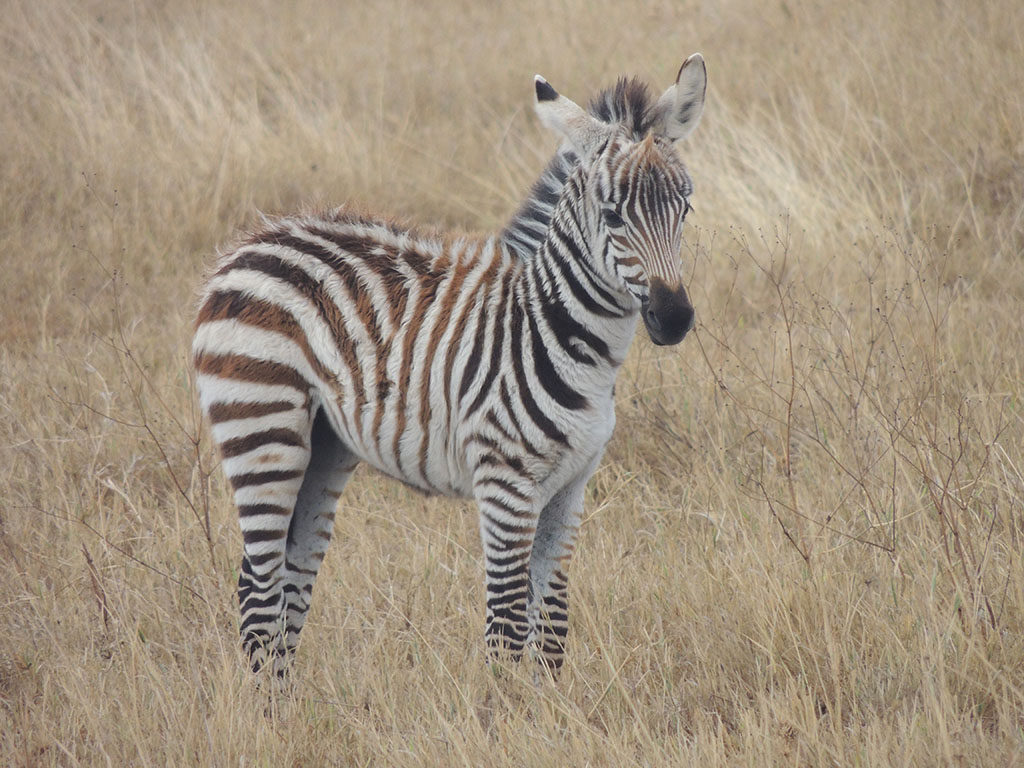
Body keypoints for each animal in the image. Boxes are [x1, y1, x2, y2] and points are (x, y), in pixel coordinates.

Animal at [193, 55, 704, 679]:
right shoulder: (505, 486)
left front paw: (552, 707)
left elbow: (552, 631)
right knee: (261, 593)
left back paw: (287, 702)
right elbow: (505, 631)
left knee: (286, 582)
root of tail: (248, 244)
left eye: (685, 209)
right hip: (262, 428)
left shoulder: (572, 487)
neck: (562, 337)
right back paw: (269, 709)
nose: (674, 319)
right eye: (611, 216)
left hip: (324, 448)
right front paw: (506, 709)